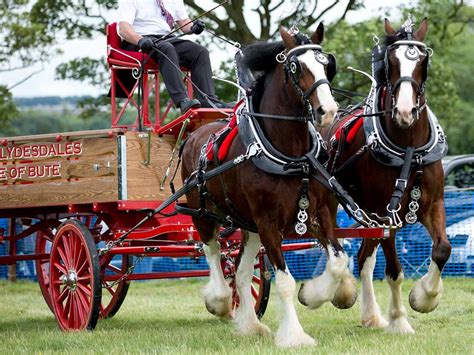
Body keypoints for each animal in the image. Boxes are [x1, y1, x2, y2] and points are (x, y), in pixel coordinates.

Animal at [181, 25, 356, 348]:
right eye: (295, 66)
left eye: (326, 63)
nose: (327, 110)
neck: (290, 154)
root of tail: (194, 133)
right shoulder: (269, 223)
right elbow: (285, 281)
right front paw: (295, 336)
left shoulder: (318, 214)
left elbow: (339, 261)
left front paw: (318, 294)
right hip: (203, 212)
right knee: (212, 249)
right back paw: (219, 300)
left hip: (247, 224)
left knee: (241, 272)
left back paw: (250, 324)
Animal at [320, 18, 450, 336]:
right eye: (391, 61)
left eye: (423, 61)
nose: (404, 111)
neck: (410, 149)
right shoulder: (385, 213)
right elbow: (393, 271)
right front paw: (400, 321)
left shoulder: (433, 204)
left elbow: (442, 249)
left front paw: (425, 297)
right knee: (329, 240)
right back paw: (341, 291)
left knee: (362, 257)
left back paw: (371, 315)